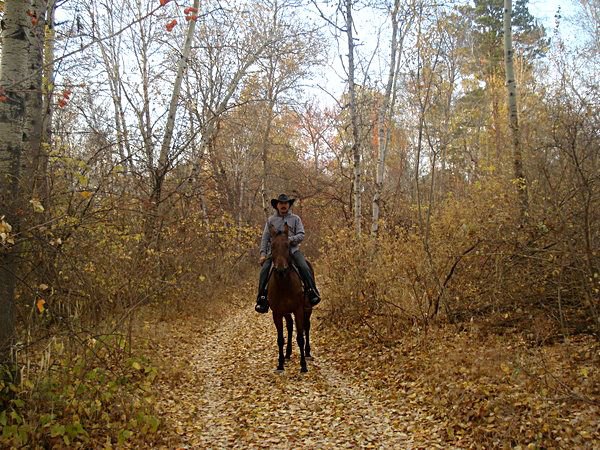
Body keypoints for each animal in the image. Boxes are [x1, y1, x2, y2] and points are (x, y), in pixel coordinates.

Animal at [268, 222, 314, 372]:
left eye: (288, 245)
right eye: (272, 246)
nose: (281, 270)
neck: (284, 284)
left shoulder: (298, 309)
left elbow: (300, 337)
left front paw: (303, 366)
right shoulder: (277, 313)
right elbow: (280, 339)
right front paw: (280, 364)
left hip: (308, 308)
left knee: (307, 326)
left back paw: (308, 353)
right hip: (286, 313)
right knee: (289, 327)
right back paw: (287, 354)